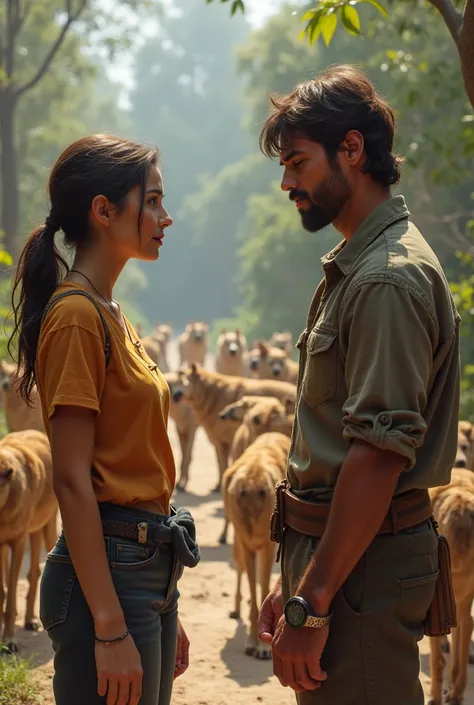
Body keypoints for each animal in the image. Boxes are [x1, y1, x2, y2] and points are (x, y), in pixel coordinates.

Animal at [0, 426, 58, 652]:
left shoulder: (19, 541)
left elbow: (12, 590)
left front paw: (9, 639)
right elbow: (3, 588)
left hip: (47, 528)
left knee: (35, 572)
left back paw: (30, 619)